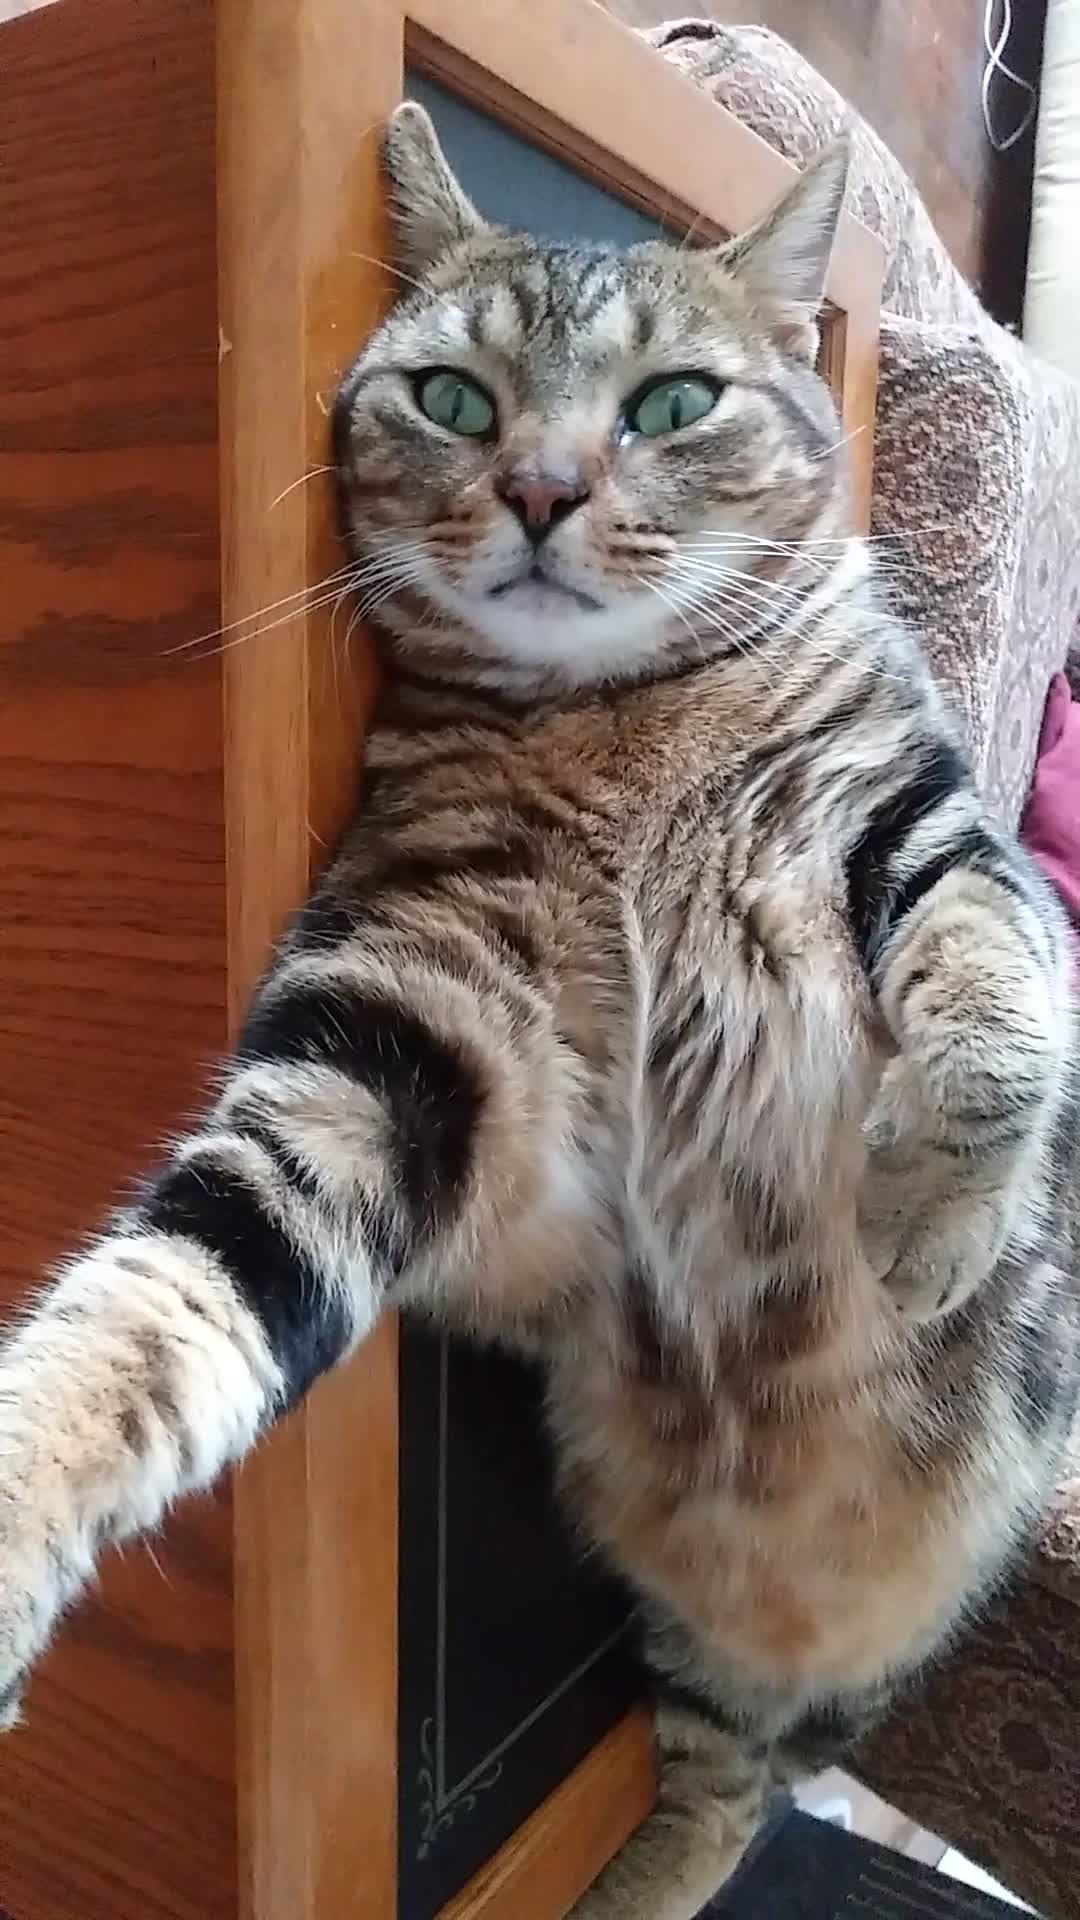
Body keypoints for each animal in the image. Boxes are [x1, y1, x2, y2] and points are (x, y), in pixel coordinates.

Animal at [1, 100, 1077, 1917]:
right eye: (454, 400)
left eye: (673, 404)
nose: (542, 488)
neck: (616, 724)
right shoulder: (398, 1040)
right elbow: (159, 1300)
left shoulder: (904, 800)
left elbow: (998, 971)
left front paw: (939, 1210)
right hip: (710, 1659)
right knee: (718, 1780)